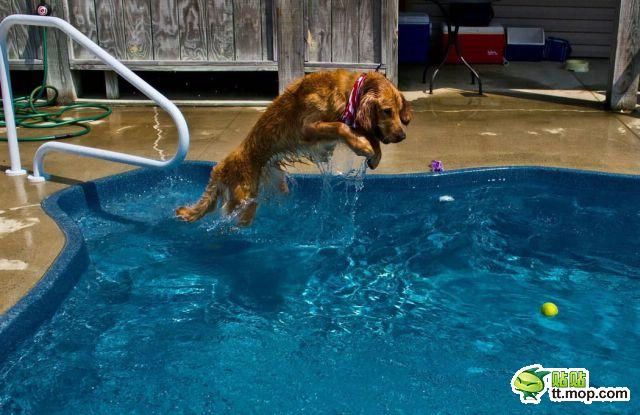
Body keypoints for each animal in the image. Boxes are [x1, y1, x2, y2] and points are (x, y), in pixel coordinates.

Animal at [176, 70, 410, 226]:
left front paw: (374, 153)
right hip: (244, 199)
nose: (402, 137)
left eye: (399, 110)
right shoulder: (308, 128)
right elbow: (341, 126)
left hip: (276, 185)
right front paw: (364, 147)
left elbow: (368, 134)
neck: (347, 92)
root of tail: (220, 166)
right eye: (387, 111)